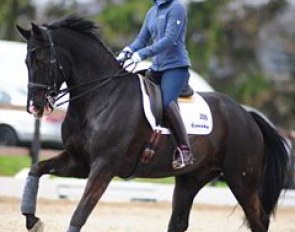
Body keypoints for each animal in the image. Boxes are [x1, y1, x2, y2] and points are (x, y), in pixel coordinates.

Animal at [16, 16, 290, 232]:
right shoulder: (79, 162)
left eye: (41, 61)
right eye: (26, 62)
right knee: (179, 222)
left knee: (259, 220)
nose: (34, 107)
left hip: (241, 180)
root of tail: (247, 115)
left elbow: (80, 214)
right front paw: (32, 220)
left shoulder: (104, 166)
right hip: (192, 178)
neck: (101, 96)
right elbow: (36, 168)